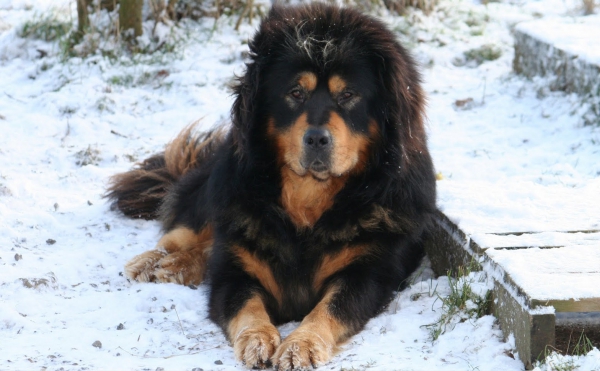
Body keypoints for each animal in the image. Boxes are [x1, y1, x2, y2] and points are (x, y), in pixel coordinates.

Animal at [106, 4, 436, 370]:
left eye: (348, 95)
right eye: (296, 93)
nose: (317, 138)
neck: (308, 201)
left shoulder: (367, 273)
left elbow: (329, 309)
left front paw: (300, 345)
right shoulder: (236, 268)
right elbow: (245, 303)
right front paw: (257, 339)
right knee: (187, 231)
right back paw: (156, 261)